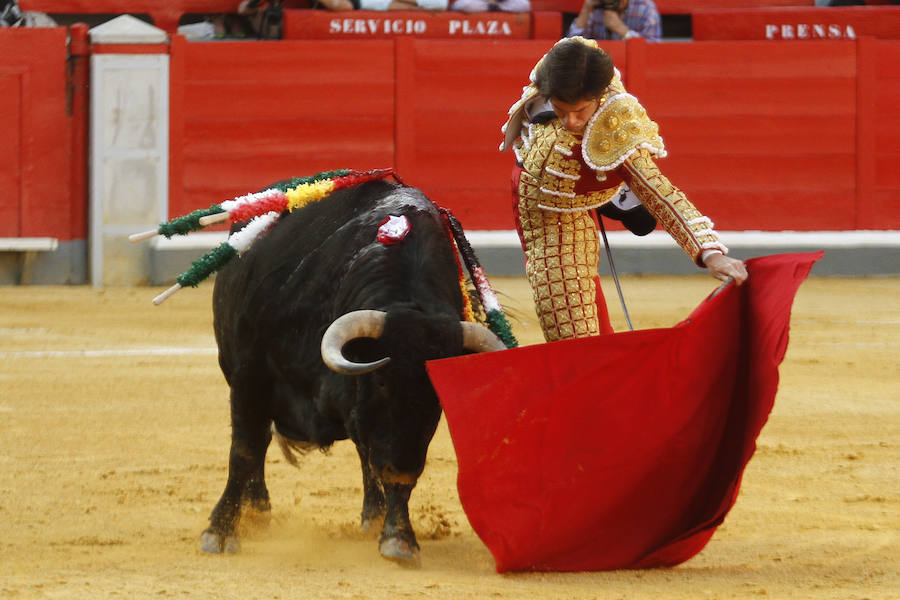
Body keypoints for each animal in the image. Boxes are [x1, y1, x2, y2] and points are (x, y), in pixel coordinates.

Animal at [200, 179, 502, 568]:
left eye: (437, 395)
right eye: (384, 382)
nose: (401, 467)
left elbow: (381, 459)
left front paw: (398, 537)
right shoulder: (251, 373)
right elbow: (246, 450)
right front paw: (220, 531)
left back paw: (372, 514)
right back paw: (258, 510)